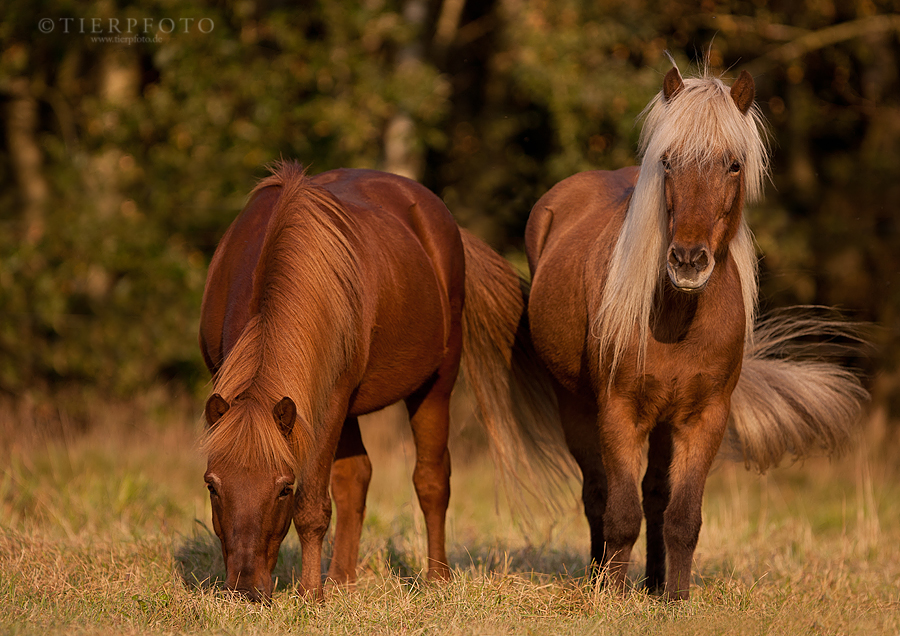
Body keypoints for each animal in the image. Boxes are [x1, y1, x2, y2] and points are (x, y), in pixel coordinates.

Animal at [202, 161, 564, 600]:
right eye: (212, 486)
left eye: (284, 487)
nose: (245, 589)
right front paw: (322, 587)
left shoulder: (331, 404)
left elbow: (313, 506)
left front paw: (310, 595)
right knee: (355, 478)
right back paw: (342, 578)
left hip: (435, 383)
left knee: (431, 480)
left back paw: (436, 578)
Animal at [524, 69, 868, 600]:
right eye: (667, 162)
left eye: (733, 164)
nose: (688, 260)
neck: (677, 321)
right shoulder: (618, 412)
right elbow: (620, 513)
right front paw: (612, 599)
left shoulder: (704, 417)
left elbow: (682, 516)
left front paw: (675, 598)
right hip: (576, 406)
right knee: (598, 494)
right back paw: (600, 578)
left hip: (665, 421)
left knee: (654, 496)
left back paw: (652, 582)